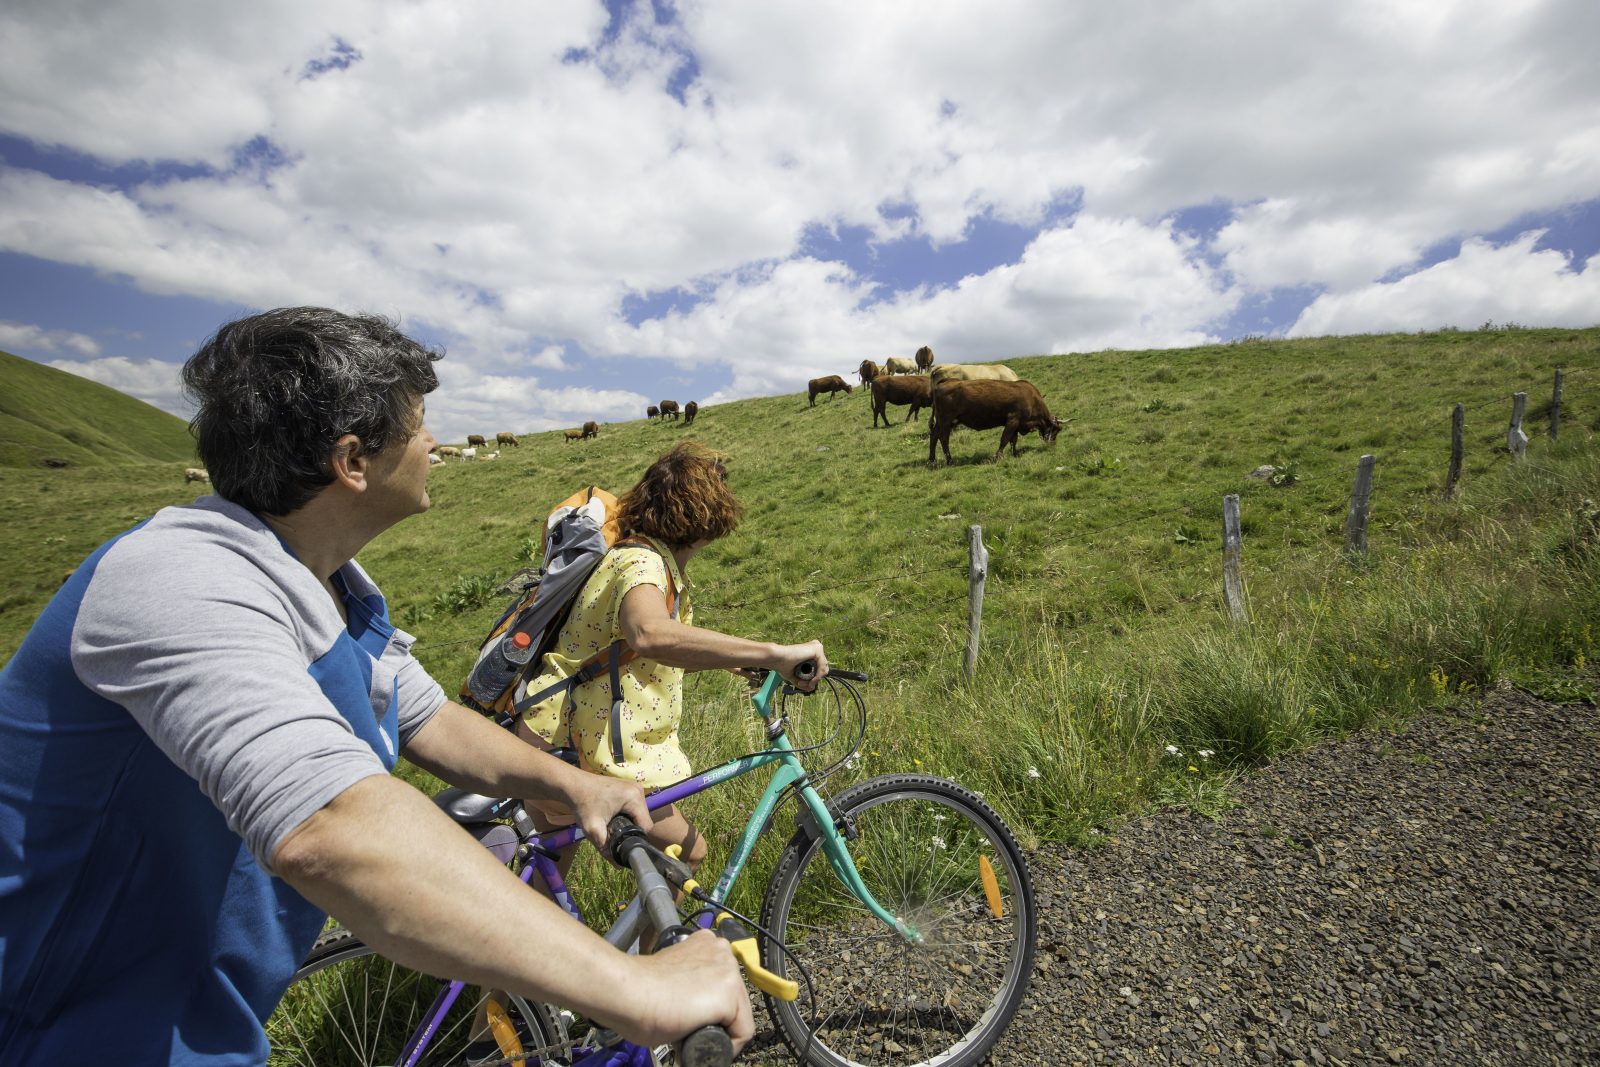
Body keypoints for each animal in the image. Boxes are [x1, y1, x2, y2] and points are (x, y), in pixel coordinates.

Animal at [928, 382, 1062, 470]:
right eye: (1055, 430)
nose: (1053, 445)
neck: (1031, 398)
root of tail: (939, 386)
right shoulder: (1012, 420)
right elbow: (1005, 439)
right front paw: (998, 456)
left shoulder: (1016, 424)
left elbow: (1013, 440)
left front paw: (1014, 454)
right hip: (946, 421)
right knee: (943, 439)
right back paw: (950, 461)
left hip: (942, 422)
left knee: (934, 436)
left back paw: (932, 460)